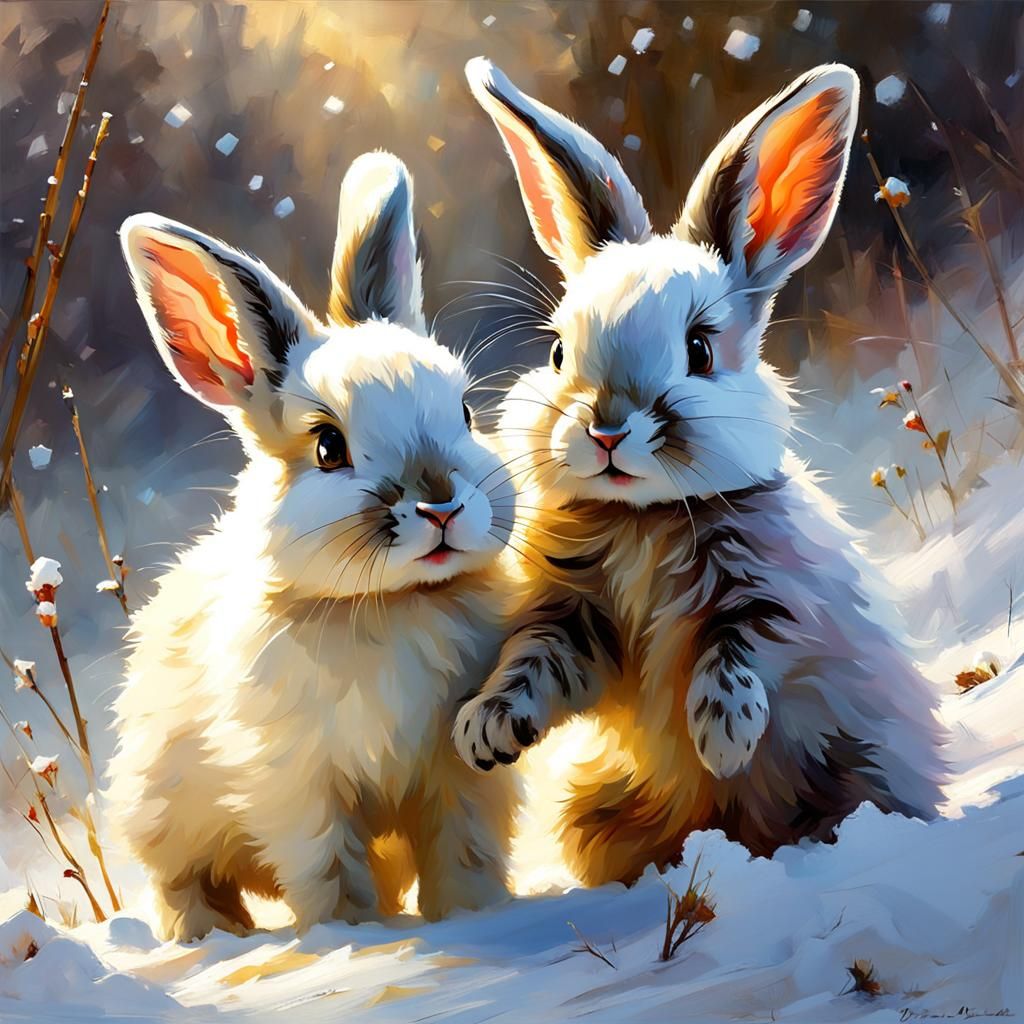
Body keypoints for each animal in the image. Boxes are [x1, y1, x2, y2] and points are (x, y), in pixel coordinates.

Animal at [107, 152, 520, 942]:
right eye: (328, 448)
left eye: (464, 412)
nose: (441, 506)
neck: (392, 605)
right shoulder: (299, 789)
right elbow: (329, 870)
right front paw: (350, 937)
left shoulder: (459, 777)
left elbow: (464, 851)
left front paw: (472, 916)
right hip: (163, 819)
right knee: (183, 886)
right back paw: (213, 935)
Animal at [453, 59, 948, 888]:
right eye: (556, 352)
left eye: (700, 351)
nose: (606, 431)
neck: (643, 521)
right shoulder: (572, 616)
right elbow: (533, 665)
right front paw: (485, 730)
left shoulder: (771, 596)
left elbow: (738, 652)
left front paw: (721, 739)